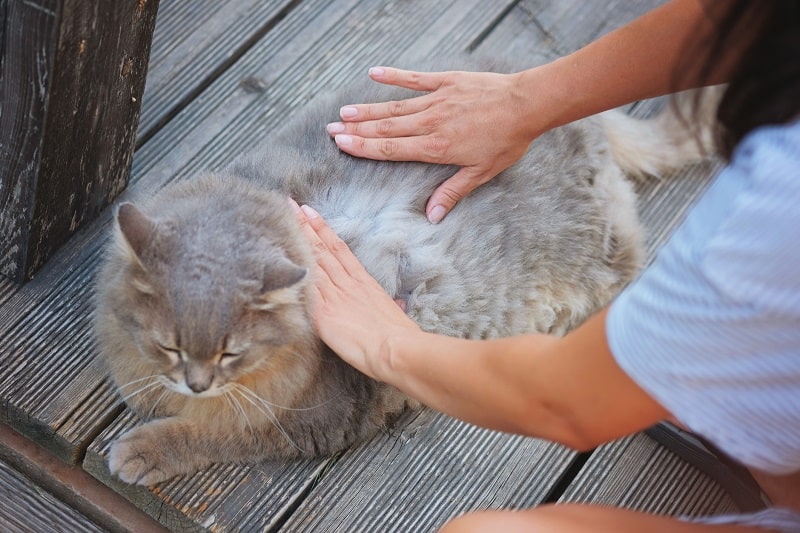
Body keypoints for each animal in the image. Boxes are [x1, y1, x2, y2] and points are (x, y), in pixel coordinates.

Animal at [94, 60, 712, 484]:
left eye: (230, 353)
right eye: (170, 345)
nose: (194, 381)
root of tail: (584, 126)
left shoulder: (309, 419)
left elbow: (215, 433)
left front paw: (144, 449)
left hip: (603, 255)